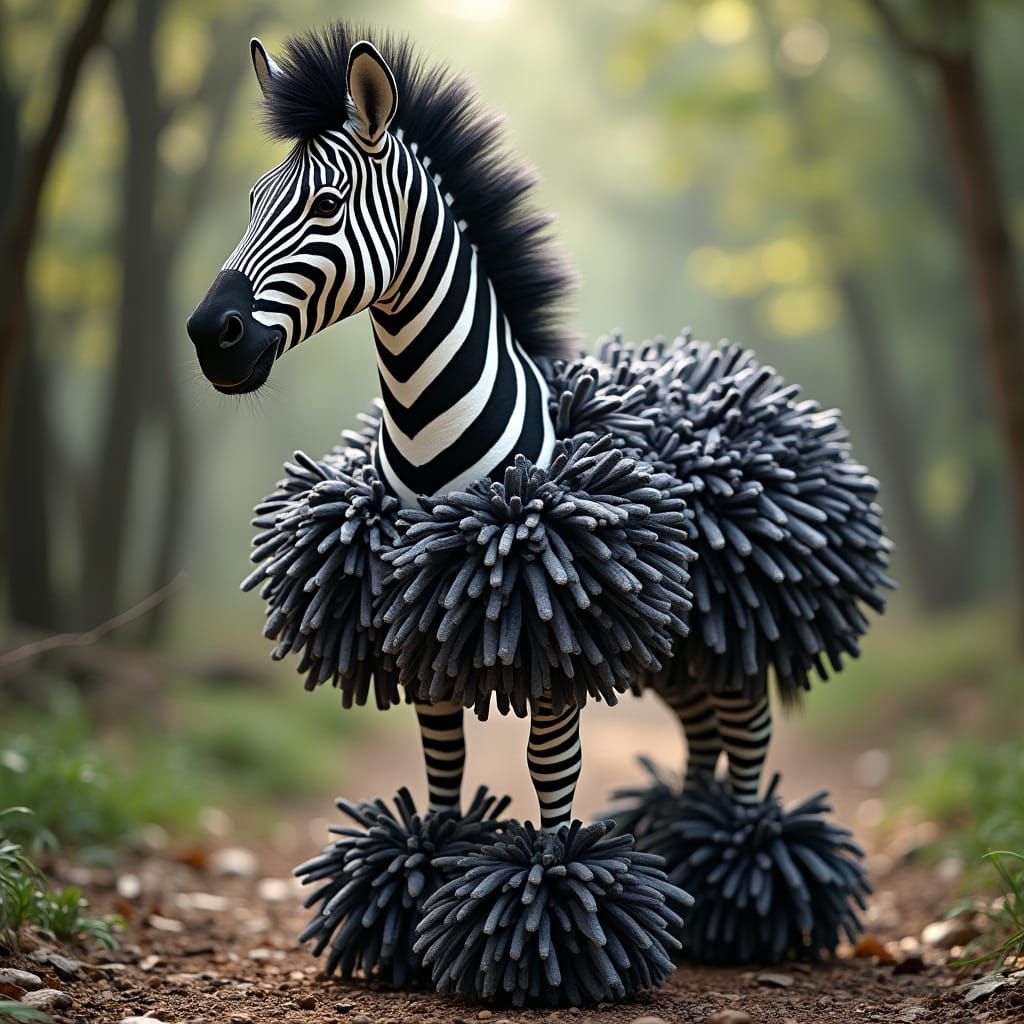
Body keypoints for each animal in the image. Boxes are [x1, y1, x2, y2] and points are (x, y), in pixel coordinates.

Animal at [187, 28, 591, 833]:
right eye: (251, 201)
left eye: (326, 204)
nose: (208, 336)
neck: (426, 422)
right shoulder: (414, 608)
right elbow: (444, 763)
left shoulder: (546, 619)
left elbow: (551, 769)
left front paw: (559, 864)